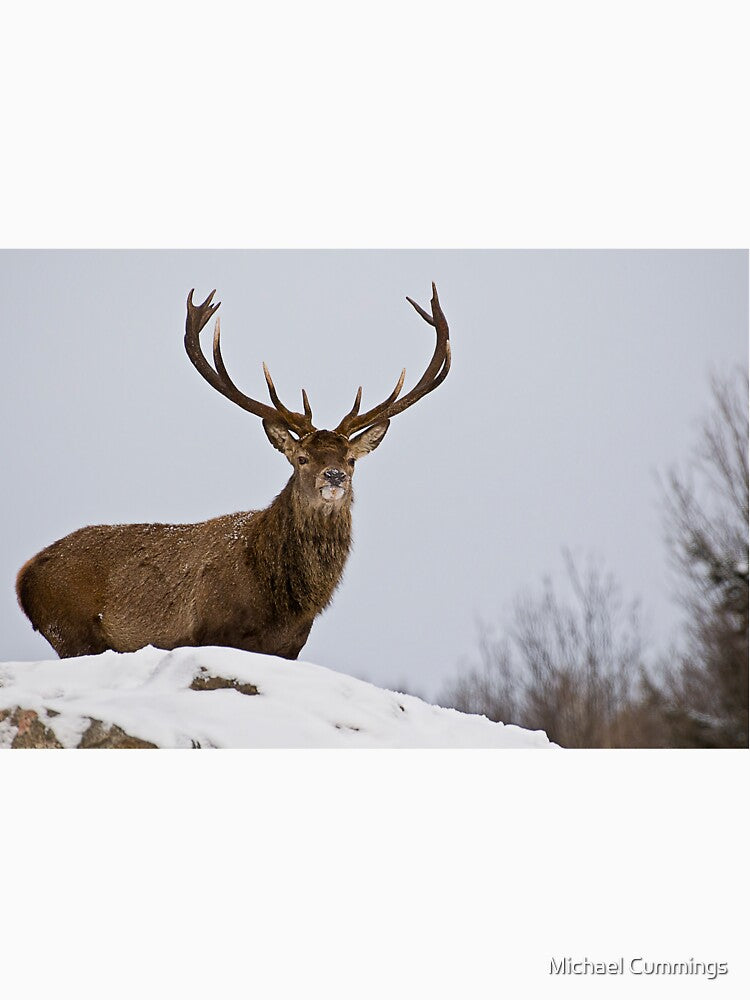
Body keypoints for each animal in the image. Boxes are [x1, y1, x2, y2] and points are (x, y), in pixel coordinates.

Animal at [16, 284, 451, 661]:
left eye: (351, 460)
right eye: (301, 458)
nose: (334, 477)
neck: (282, 601)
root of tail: (23, 578)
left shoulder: (290, 648)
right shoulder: (211, 633)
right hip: (72, 632)